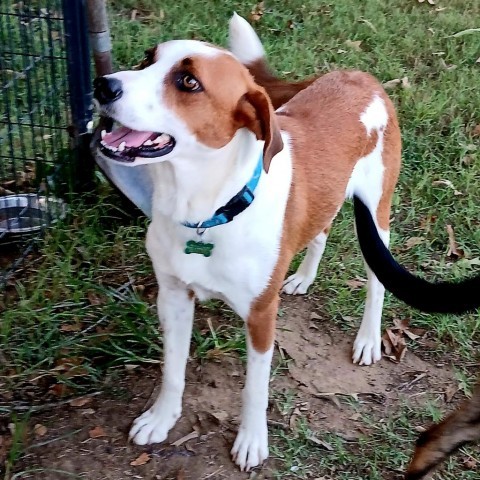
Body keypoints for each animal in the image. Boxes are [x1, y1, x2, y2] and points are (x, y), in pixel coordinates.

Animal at [93, 14, 402, 468]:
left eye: (188, 81)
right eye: (147, 59)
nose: (103, 85)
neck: (204, 211)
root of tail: (360, 76)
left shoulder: (260, 315)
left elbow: (255, 388)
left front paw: (253, 441)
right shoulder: (173, 296)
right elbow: (172, 370)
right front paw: (162, 419)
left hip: (376, 212)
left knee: (376, 280)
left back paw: (367, 339)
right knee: (320, 230)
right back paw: (304, 277)